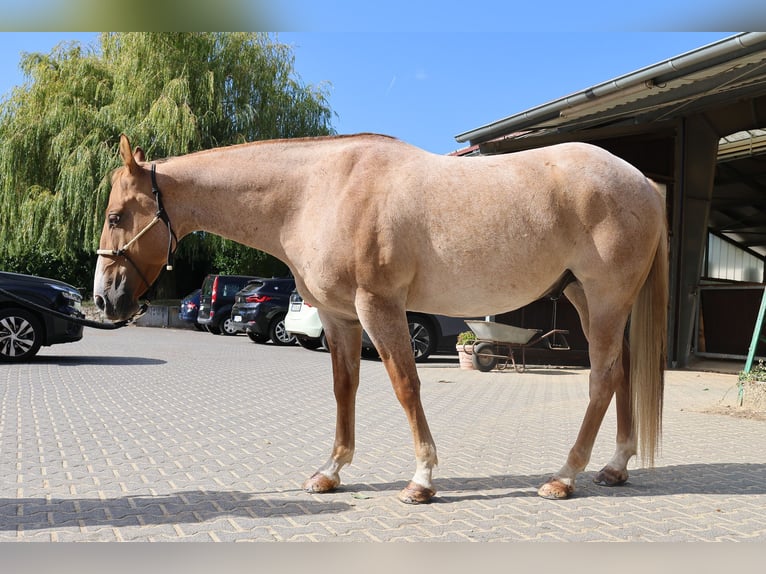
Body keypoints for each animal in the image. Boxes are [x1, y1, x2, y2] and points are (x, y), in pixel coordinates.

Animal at [93, 133, 668, 504]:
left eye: (116, 216)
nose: (103, 299)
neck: (319, 191)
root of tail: (642, 181)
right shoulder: (340, 317)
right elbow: (344, 388)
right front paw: (330, 472)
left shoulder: (379, 306)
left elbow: (405, 384)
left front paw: (422, 479)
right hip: (587, 298)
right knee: (621, 373)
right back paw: (615, 467)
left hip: (605, 297)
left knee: (602, 379)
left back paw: (565, 476)